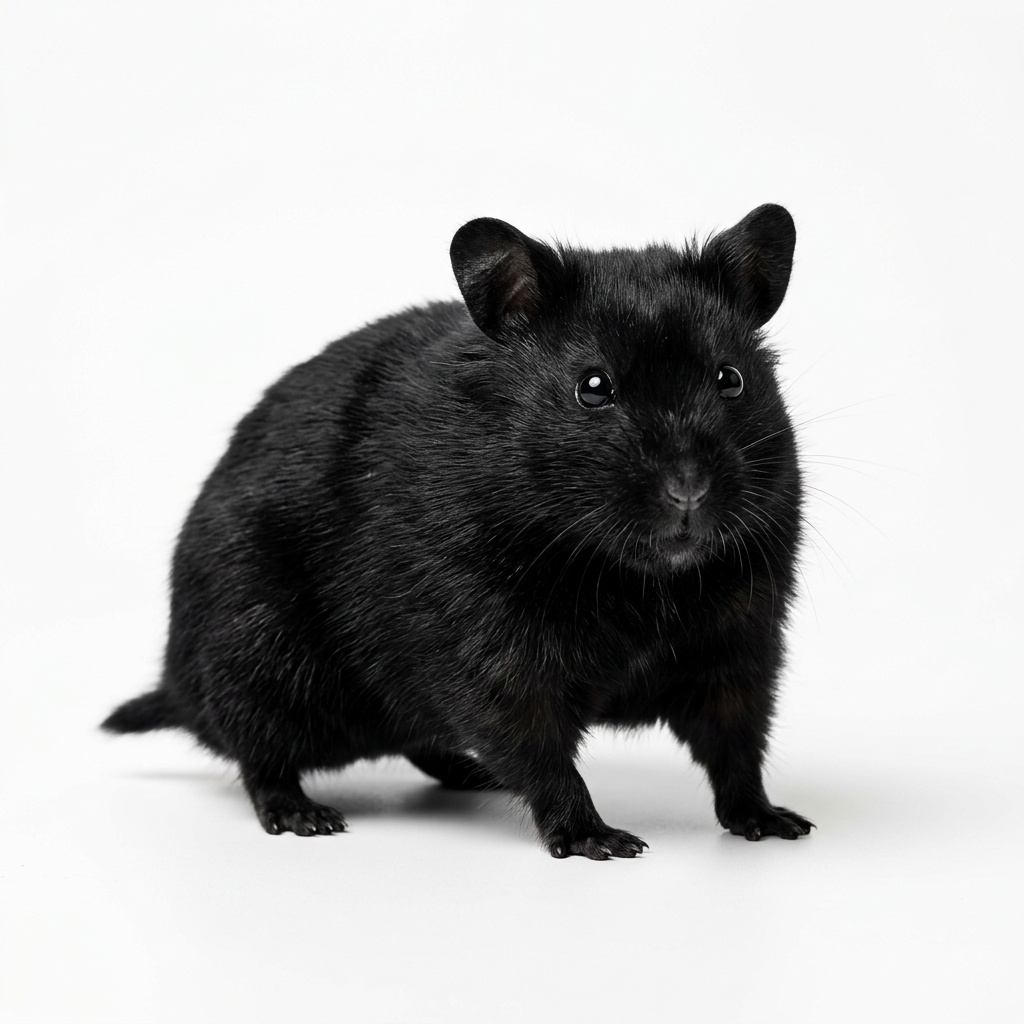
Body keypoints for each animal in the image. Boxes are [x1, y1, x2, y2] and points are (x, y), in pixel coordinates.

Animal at [103, 204, 813, 858]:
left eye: (730, 378)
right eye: (593, 388)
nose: (688, 490)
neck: (640, 576)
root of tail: (179, 688)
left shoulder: (743, 644)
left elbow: (737, 746)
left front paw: (776, 824)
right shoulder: (488, 652)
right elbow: (541, 753)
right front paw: (602, 841)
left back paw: (472, 776)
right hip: (258, 654)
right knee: (260, 758)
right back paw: (308, 816)